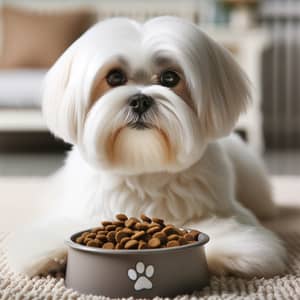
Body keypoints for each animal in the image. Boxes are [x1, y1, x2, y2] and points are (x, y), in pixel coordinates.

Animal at [7, 17, 286, 278]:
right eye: (115, 77)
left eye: (170, 78)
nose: (140, 100)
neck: (143, 164)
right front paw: (47, 253)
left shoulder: (226, 208)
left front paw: (236, 252)